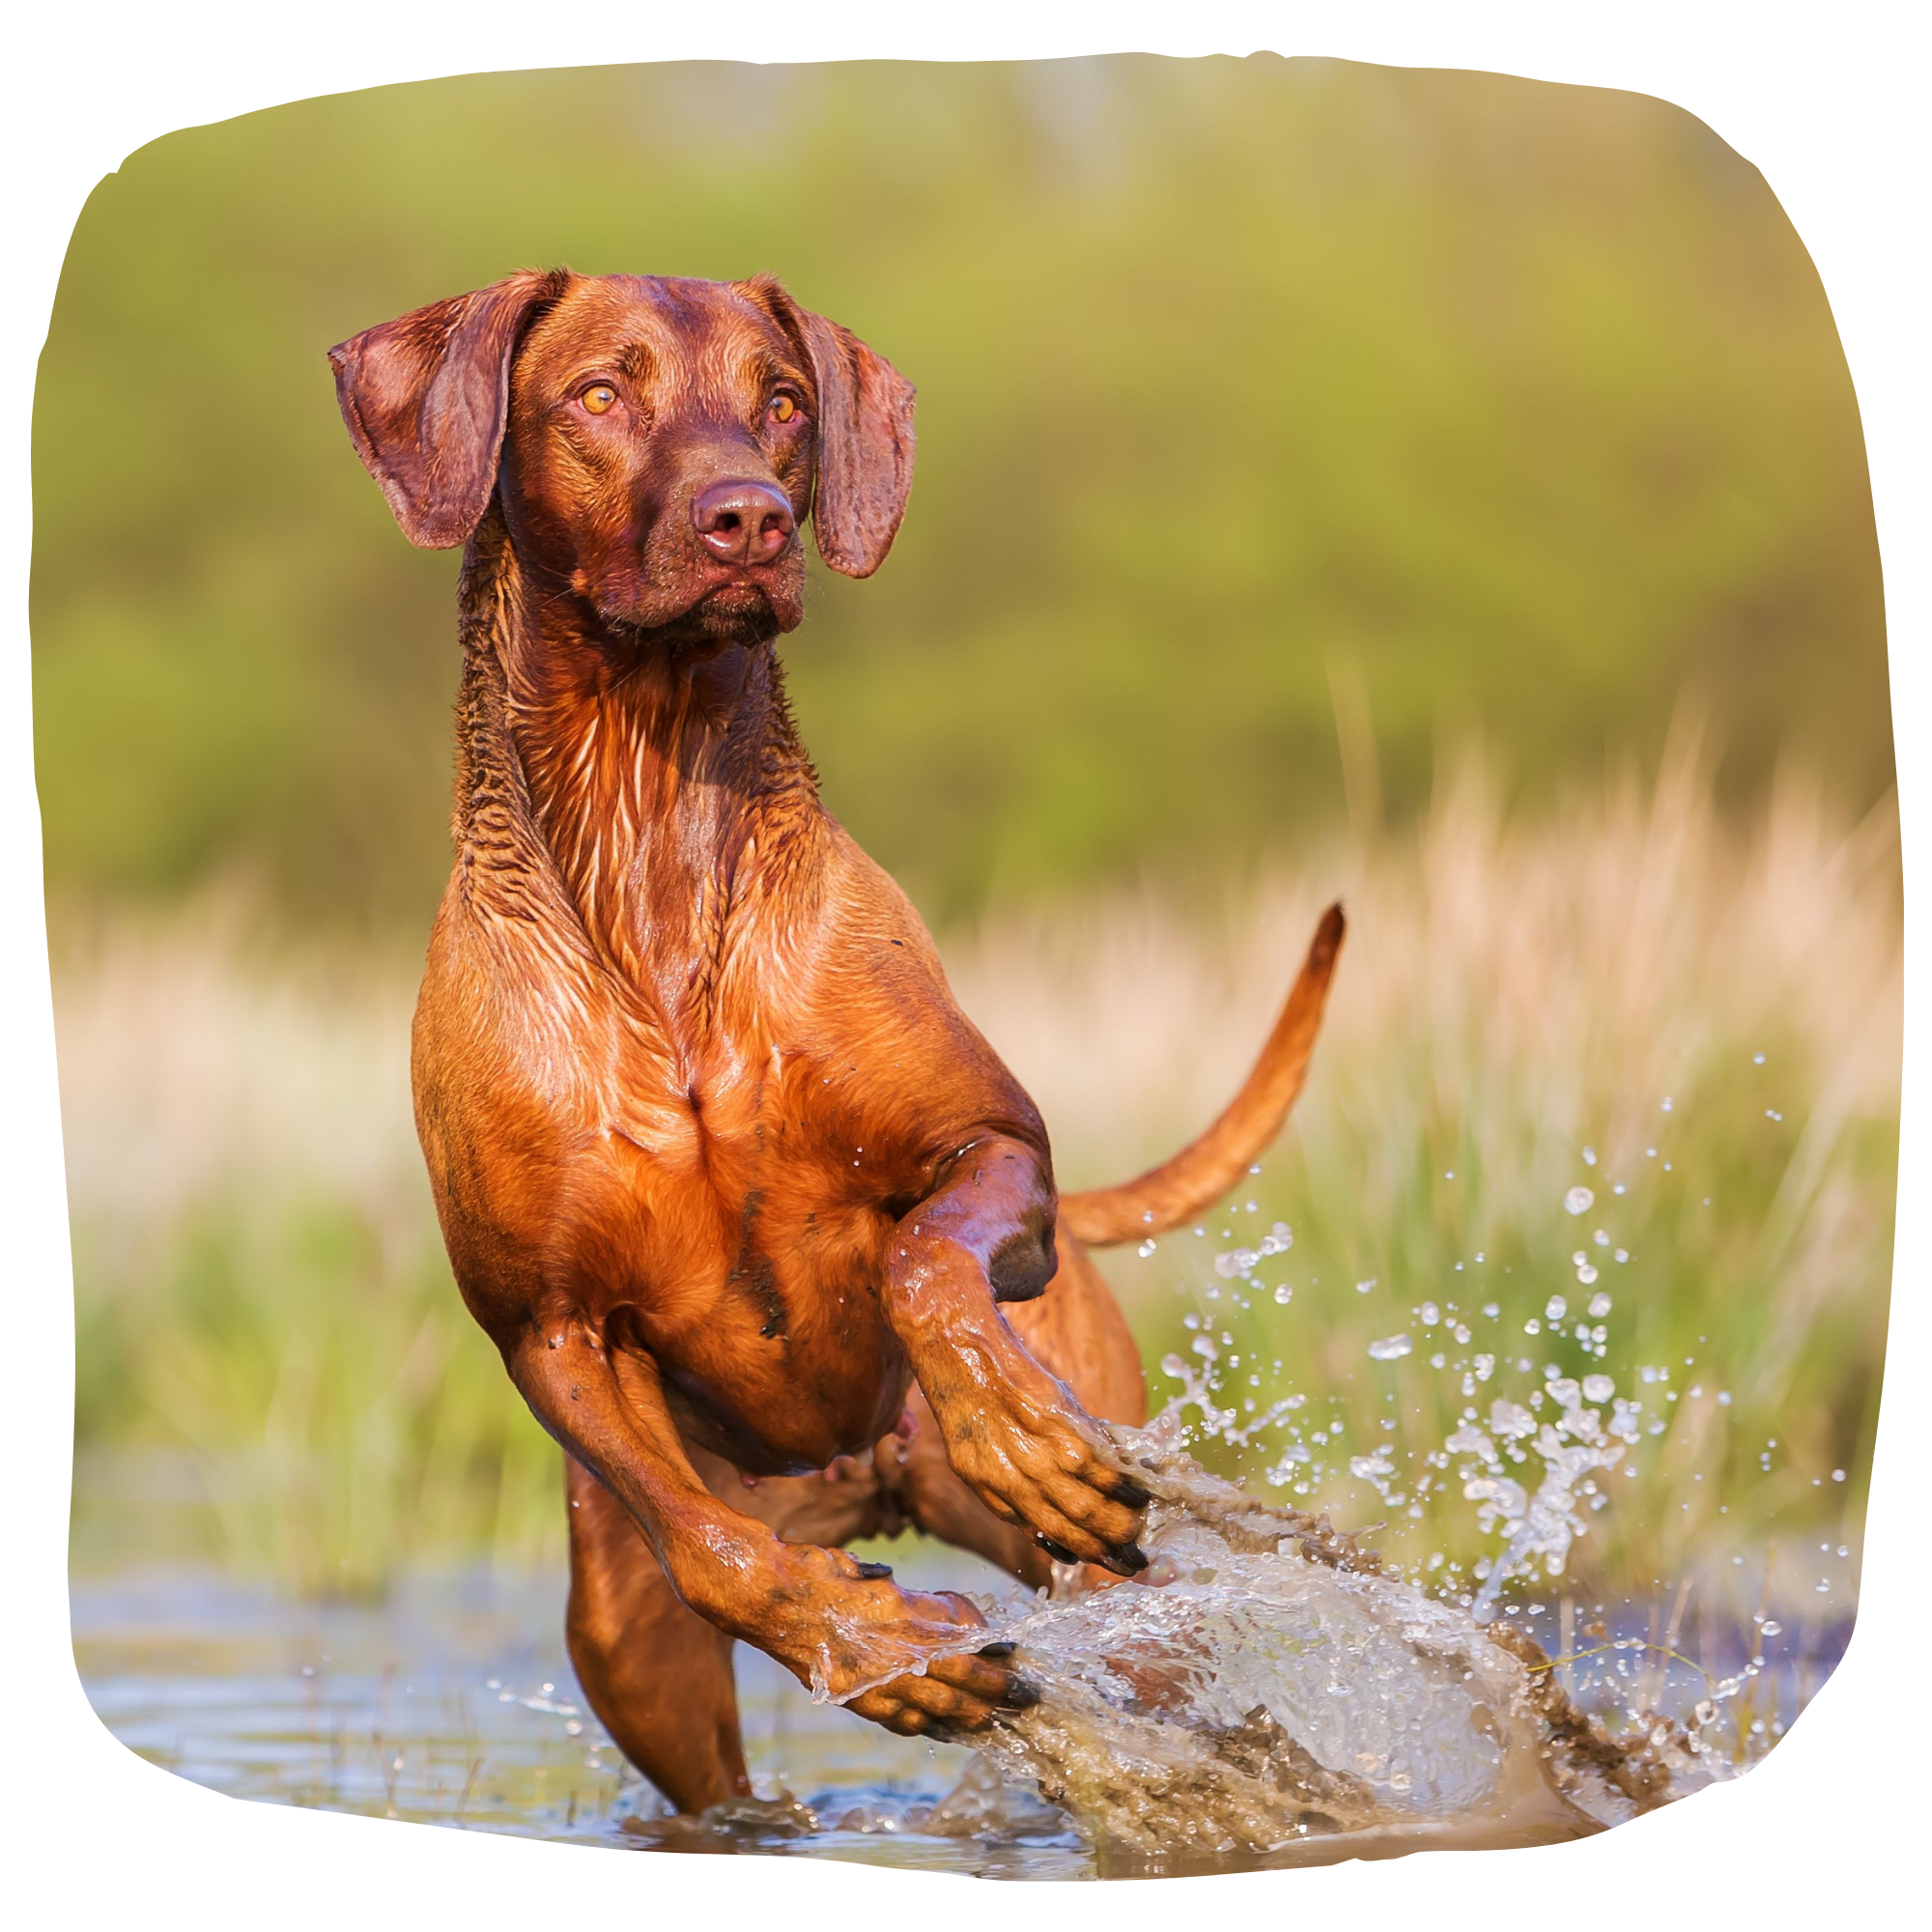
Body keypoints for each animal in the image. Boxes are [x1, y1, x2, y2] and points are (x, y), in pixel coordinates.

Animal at [328, 269, 1345, 1808]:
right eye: (598, 394)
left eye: (785, 401)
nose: (748, 517)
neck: (651, 824)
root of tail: (858, 1479)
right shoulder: (545, 1326)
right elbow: (716, 1552)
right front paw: (871, 1643)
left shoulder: (997, 1148)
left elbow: (927, 1258)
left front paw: (1016, 1428)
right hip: (628, 1640)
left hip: (1123, 1585)